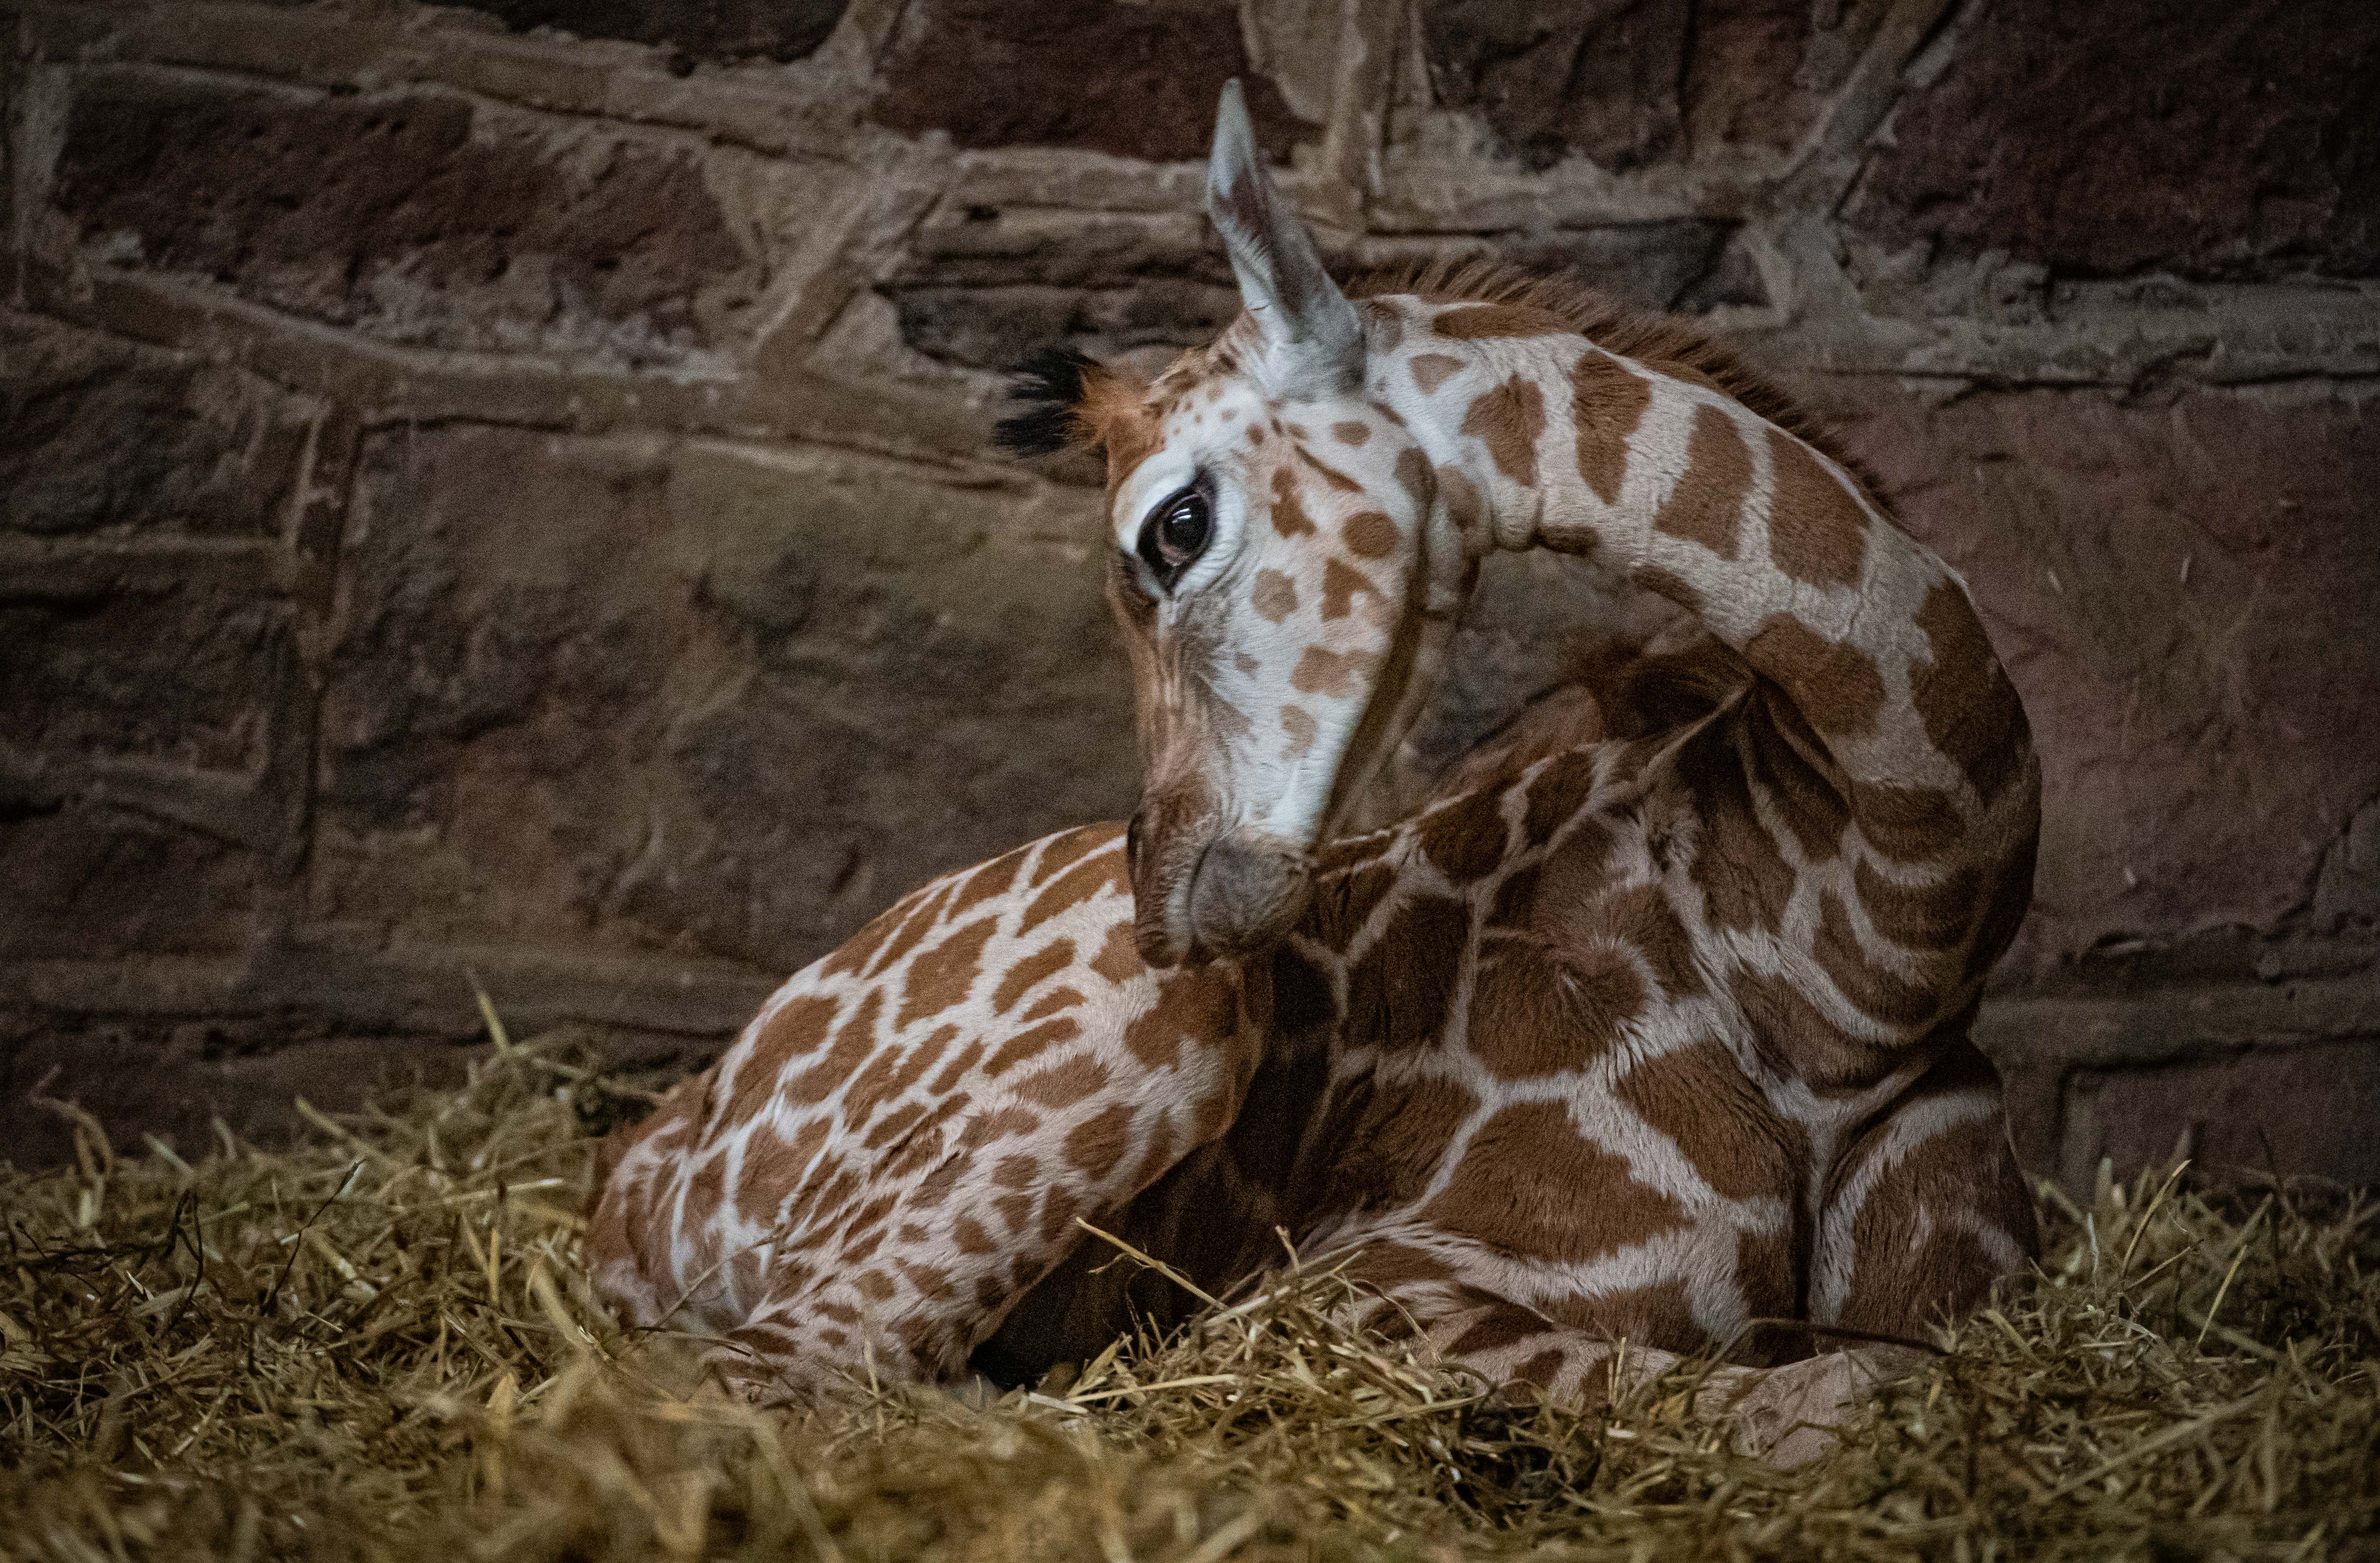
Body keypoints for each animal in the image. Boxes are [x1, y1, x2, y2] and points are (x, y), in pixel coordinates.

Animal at [584, 81, 2040, 1422]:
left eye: (1174, 526)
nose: (1171, 902)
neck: (1854, 955)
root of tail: (641, 1172)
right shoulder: (1358, 1281)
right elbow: (1838, 1393)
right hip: (1154, 1036)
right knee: (771, 1368)